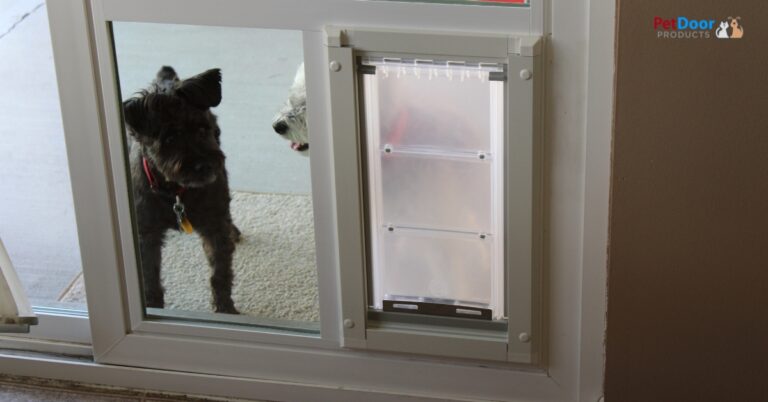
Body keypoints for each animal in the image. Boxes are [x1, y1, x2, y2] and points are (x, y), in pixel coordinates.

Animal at [123, 66, 240, 314]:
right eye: (169, 138)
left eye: (203, 129)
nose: (205, 165)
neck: (176, 192)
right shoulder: (146, 235)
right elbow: (150, 277)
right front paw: (154, 307)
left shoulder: (214, 226)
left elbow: (220, 273)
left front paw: (225, 309)